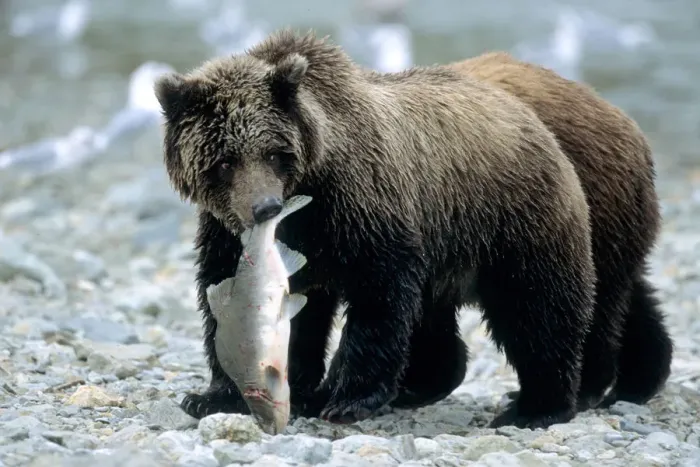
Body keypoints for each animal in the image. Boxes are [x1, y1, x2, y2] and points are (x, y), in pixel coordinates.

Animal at [154, 29, 597, 429]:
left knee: (538, 311)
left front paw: (347, 399)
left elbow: (379, 292)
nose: (265, 208)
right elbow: (230, 296)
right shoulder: (228, 232)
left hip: (513, 222)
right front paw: (213, 395)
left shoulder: (362, 204)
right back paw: (423, 384)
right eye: (224, 161)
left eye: (274, 153)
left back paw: (537, 407)